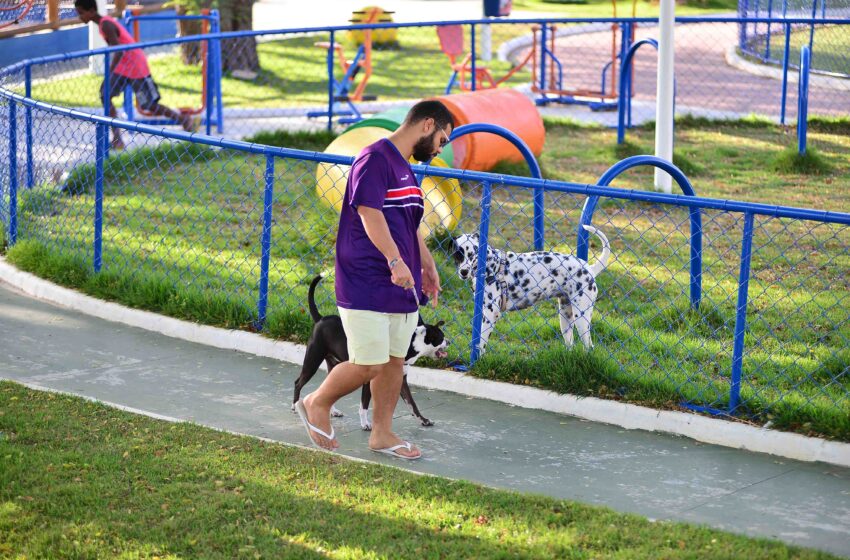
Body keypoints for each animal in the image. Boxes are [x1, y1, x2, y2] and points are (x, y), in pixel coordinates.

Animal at [294, 276, 450, 428]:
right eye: (441, 338)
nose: (449, 342)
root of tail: (321, 318)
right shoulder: (368, 380)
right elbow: (364, 404)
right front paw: (365, 424)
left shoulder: (401, 381)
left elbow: (412, 404)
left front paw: (424, 420)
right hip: (312, 361)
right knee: (298, 382)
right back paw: (295, 406)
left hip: (333, 365)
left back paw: (332, 411)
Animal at [450, 224, 608, 352]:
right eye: (458, 254)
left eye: (473, 253)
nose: (464, 272)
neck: (491, 265)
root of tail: (590, 268)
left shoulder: (490, 313)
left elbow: (481, 344)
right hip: (565, 318)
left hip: (582, 320)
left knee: (589, 347)